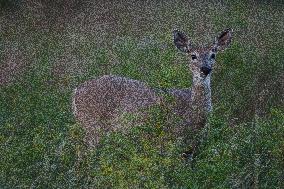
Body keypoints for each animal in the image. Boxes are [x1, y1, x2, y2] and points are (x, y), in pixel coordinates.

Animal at [72, 28, 232, 149]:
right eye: (193, 56)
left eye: (213, 54)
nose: (205, 69)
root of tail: (75, 91)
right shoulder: (171, 137)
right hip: (92, 124)